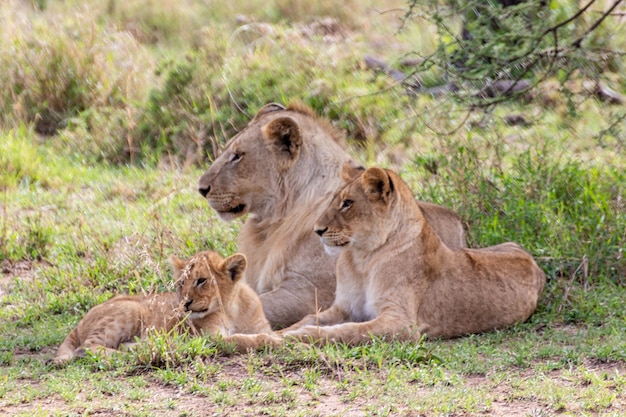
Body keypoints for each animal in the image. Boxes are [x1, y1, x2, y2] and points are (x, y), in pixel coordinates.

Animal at [53, 249, 278, 362]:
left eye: (201, 280)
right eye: (181, 283)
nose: (185, 303)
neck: (233, 309)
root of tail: (80, 322)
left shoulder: (259, 325)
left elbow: (259, 334)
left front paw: (277, 338)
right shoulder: (211, 338)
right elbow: (243, 339)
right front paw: (274, 342)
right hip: (131, 310)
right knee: (87, 347)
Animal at [280, 163, 544, 344]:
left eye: (348, 203)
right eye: (334, 200)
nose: (317, 230)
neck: (361, 259)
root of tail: (532, 260)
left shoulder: (402, 323)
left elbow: (348, 332)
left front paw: (299, 337)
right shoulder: (345, 308)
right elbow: (308, 317)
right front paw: (278, 332)